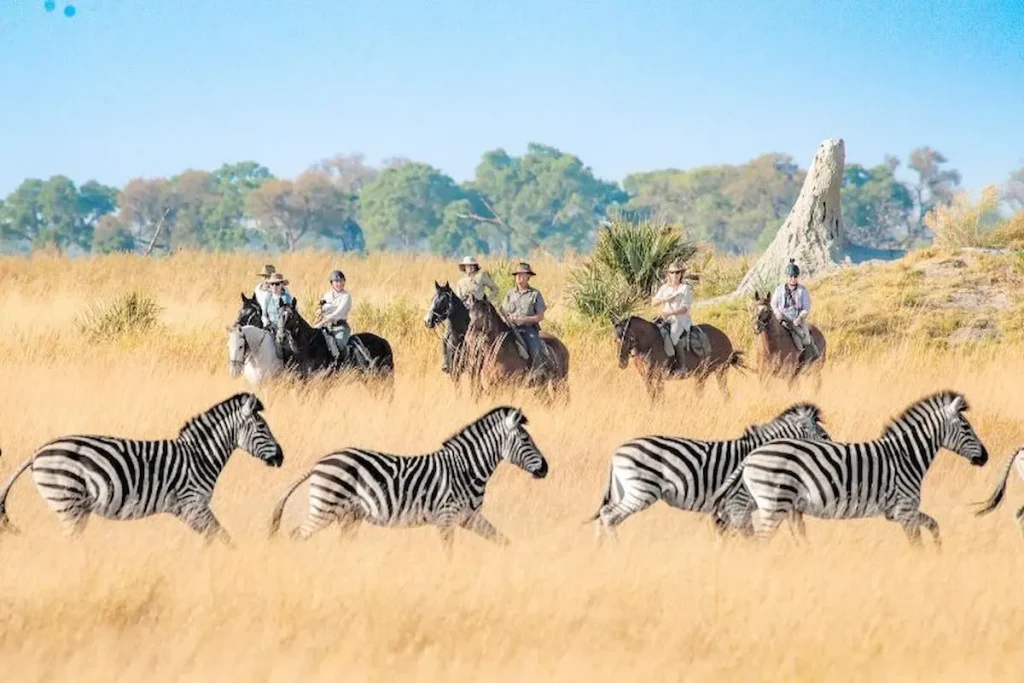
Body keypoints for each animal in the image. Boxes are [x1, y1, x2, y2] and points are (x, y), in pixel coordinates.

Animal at [0, 389, 282, 544]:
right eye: (262, 427)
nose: (282, 457)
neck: (199, 456)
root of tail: (38, 452)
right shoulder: (193, 503)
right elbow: (222, 536)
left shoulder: (186, 509)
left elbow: (214, 537)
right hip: (68, 502)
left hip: (70, 506)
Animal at [268, 405, 548, 548]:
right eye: (526, 439)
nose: (545, 468)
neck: (466, 469)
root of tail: (319, 461)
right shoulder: (447, 517)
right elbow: (449, 553)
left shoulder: (469, 517)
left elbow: (503, 541)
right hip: (325, 508)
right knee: (296, 536)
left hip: (349, 516)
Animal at [585, 401, 831, 540]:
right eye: (824, 435)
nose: (833, 444)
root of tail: (617, 452)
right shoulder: (736, 502)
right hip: (642, 491)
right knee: (609, 516)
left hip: (623, 489)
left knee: (603, 514)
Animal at [610, 313, 749, 401]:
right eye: (615, 340)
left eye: (628, 338)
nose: (621, 362)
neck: (649, 344)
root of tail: (725, 338)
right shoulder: (646, 377)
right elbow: (653, 396)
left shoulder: (659, 377)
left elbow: (659, 397)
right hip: (702, 375)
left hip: (719, 372)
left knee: (723, 393)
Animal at [708, 393, 987, 548]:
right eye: (966, 427)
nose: (985, 457)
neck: (905, 455)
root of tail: (751, 456)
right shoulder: (904, 509)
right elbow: (917, 543)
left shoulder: (896, 512)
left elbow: (934, 526)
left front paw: (939, 552)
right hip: (774, 502)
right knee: (760, 542)